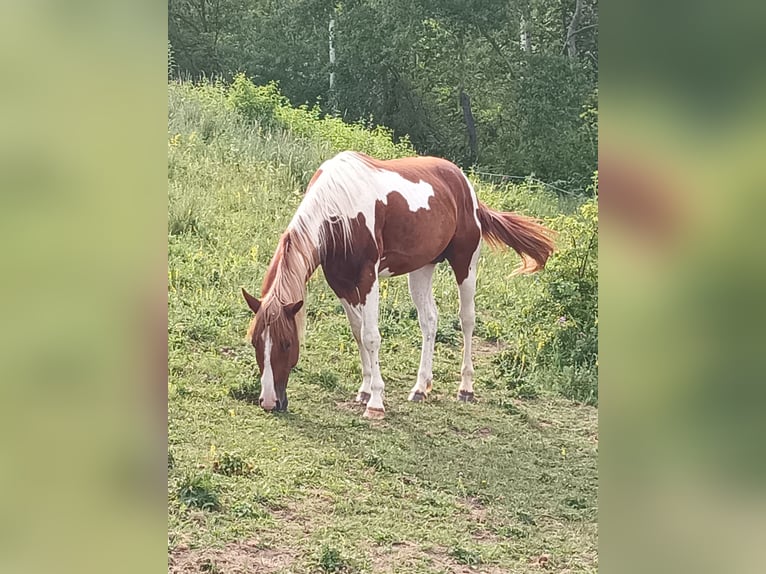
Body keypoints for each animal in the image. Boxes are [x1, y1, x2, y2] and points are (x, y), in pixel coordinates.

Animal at [242, 151, 554, 418]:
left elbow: (371, 336)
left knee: (467, 319)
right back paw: (421, 387)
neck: (339, 211)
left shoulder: (368, 278)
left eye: (286, 343)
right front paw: (365, 390)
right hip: (422, 269)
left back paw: (465, 388)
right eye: (256, 341)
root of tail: (466, 186)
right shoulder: (340, 282)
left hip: (466, 264)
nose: (269, 402)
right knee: (429, 321)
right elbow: (358, 332)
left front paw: (376, 402)